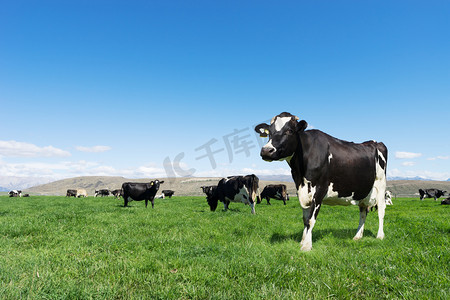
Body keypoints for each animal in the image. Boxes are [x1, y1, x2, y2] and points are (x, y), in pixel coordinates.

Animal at [255, 112, 388, 251]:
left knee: (381, 210)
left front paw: (307, 246)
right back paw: (357, 236)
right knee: (363, 211)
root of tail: (373, 142)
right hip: (363, 190)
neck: (300, 172)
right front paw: (302, 241)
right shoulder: (301, 190)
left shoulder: (319, 189)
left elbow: (310, 220)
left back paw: (380, 235)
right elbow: (305, 219)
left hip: (381, 185)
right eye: (269, 132)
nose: (266, 150)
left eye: (289, 131)